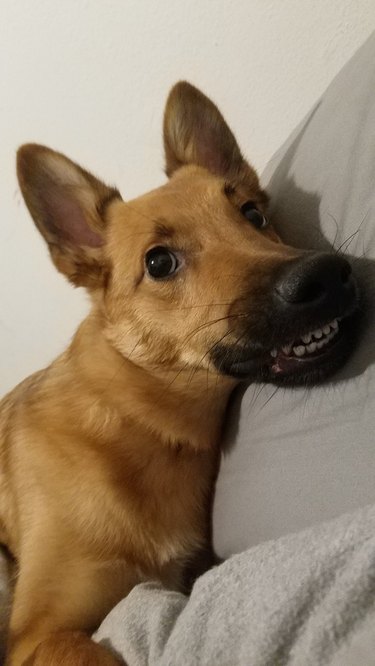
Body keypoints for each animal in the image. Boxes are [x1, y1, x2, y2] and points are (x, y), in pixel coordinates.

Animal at [0, 80, 362, 660]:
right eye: (159, 262)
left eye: (252, 214)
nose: (326, 275)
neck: (143, 425)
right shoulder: (39, 634)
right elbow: (91, 652)